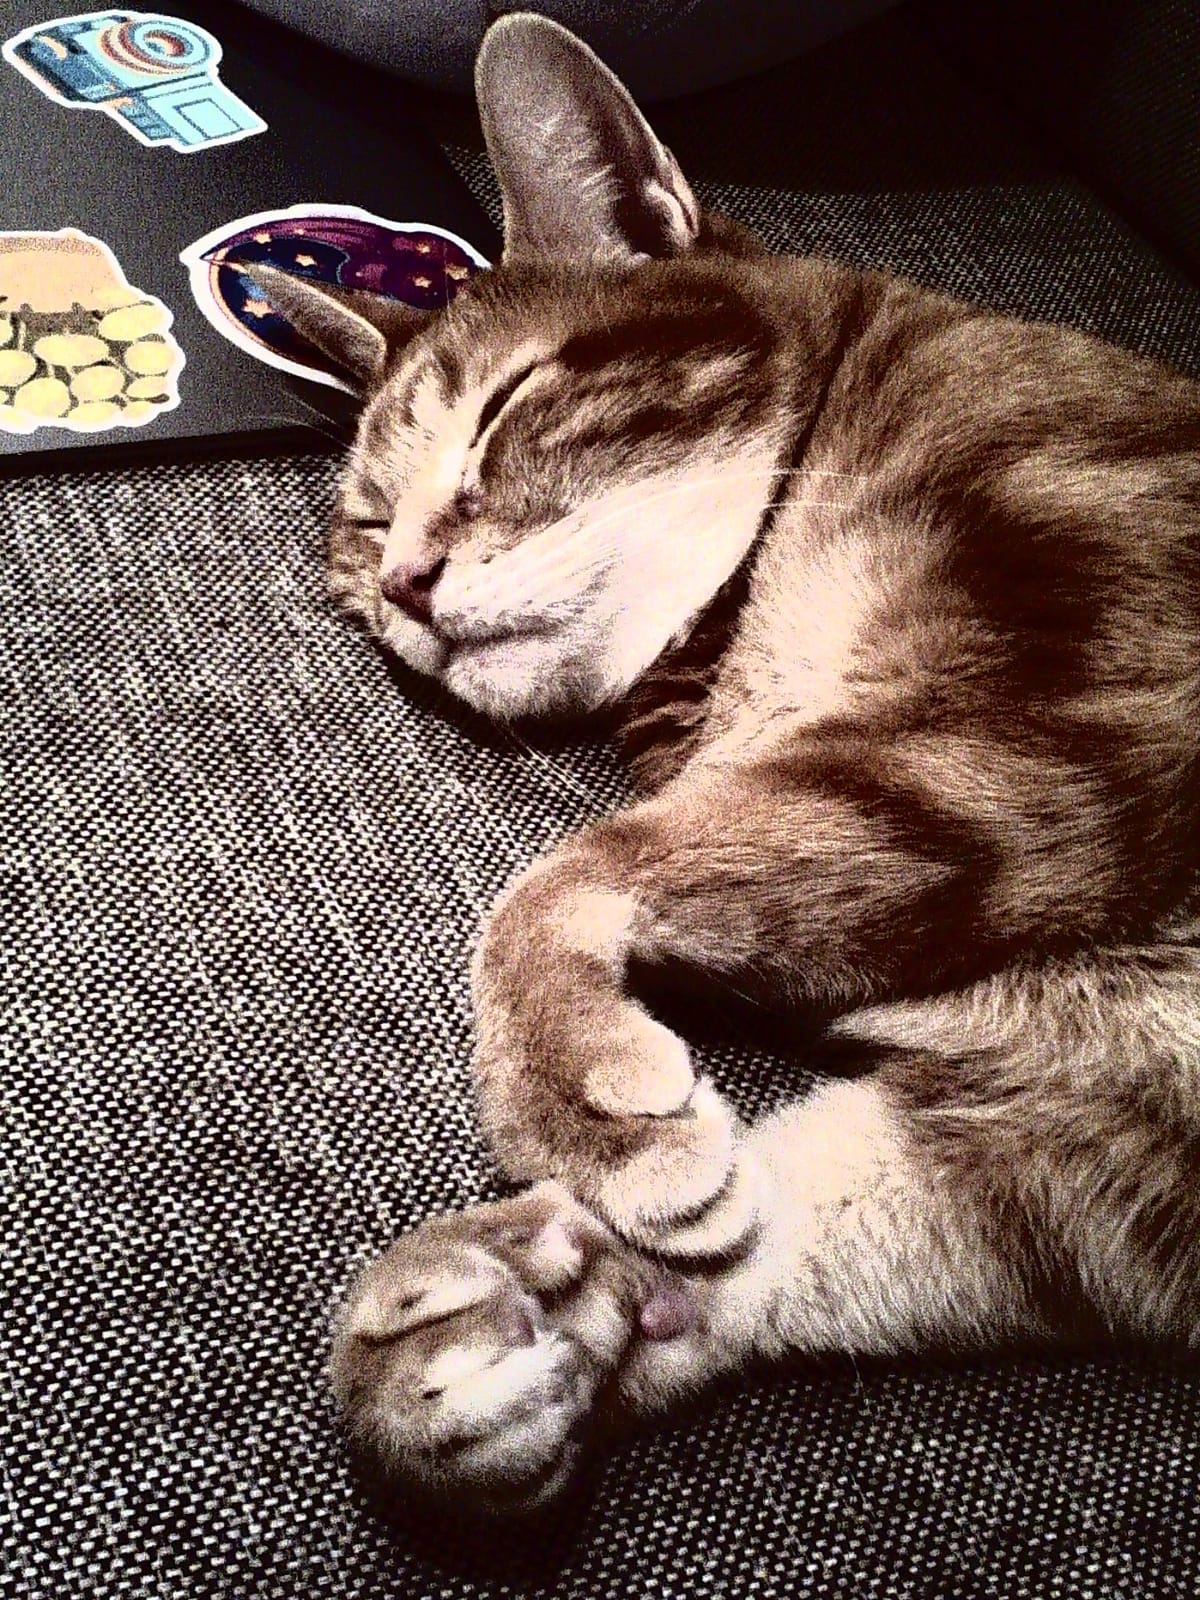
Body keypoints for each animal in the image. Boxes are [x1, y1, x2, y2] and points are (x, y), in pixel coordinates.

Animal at [260, 9, 1200, 1510]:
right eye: (361, 521)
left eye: (507, 409)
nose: (402, 582)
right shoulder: (1105, 1151)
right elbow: (797, 1222)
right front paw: (531, 1315)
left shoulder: (1072, 704)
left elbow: (552, 887)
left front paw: (580, 1109)